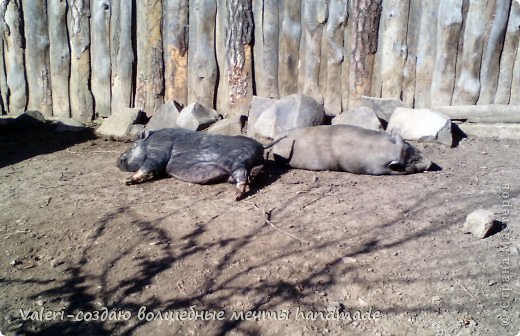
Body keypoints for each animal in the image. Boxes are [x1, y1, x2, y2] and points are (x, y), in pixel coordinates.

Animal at [118, 127, 280, 198]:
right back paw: (254, 175)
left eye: (133, 145)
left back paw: (237, 196)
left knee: (242, 175)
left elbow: (148, 166)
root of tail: (260, 145)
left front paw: (127, 181)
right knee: (255, 170)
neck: (150, 143)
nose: (117, 160)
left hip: (238, 161)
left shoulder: (159, 151)